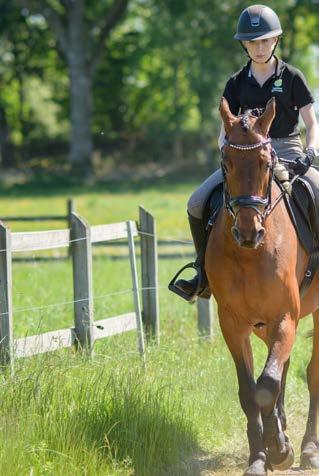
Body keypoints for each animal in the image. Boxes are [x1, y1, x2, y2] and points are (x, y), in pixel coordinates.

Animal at [208, 95, 319, 474]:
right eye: (226, 163)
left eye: (265, 163)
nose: (248, 231)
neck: (249, 254)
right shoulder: (233, 323)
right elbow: (249, 391)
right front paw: (261, 456)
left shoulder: (284, 316)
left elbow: (267, 386)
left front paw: (280, 449)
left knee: (311, 374)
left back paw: (308, 448)